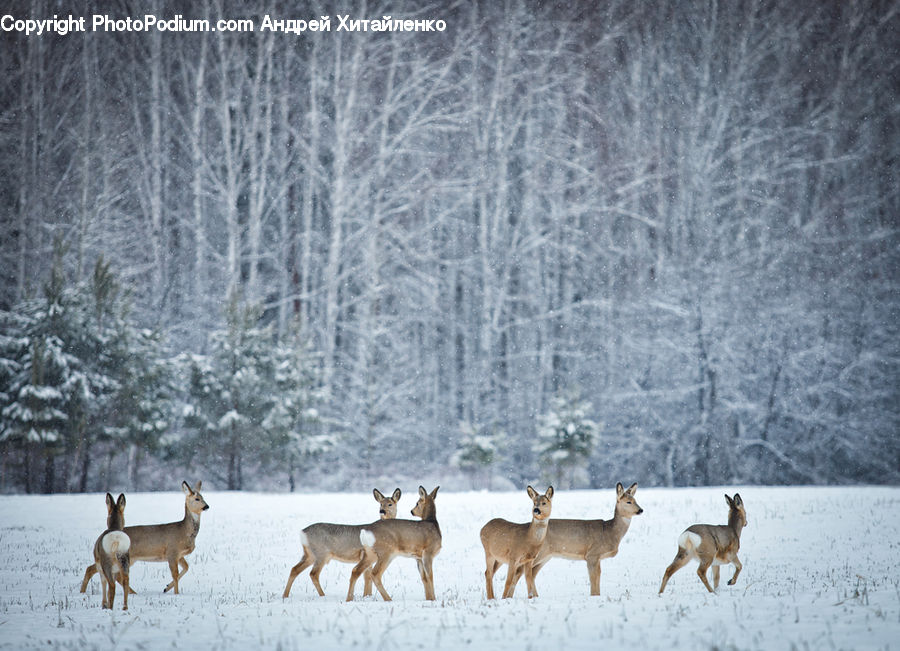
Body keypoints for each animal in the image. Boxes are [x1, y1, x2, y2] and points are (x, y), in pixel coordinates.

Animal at [80, 480, 209, 596]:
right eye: (197, 499)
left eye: (203, 497)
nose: (206, 506)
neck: (183, 531)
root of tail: (100, 536)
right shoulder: (172, 551)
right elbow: (175, 574)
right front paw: (176, 594)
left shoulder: (178, 555)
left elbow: (186, 567)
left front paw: (166, 588)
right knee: (94, 570)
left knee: (109, 574)